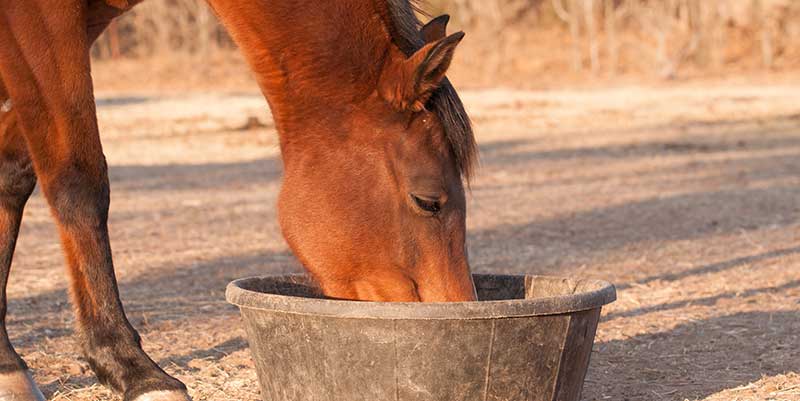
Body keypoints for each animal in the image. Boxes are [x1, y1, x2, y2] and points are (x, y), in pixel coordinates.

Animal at [0, 0, 476, 400]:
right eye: (428, 201)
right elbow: (79, 182)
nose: (457, 311)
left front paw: (7, 365)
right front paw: (133, 369)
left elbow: (12, 176)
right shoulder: (41, 21)